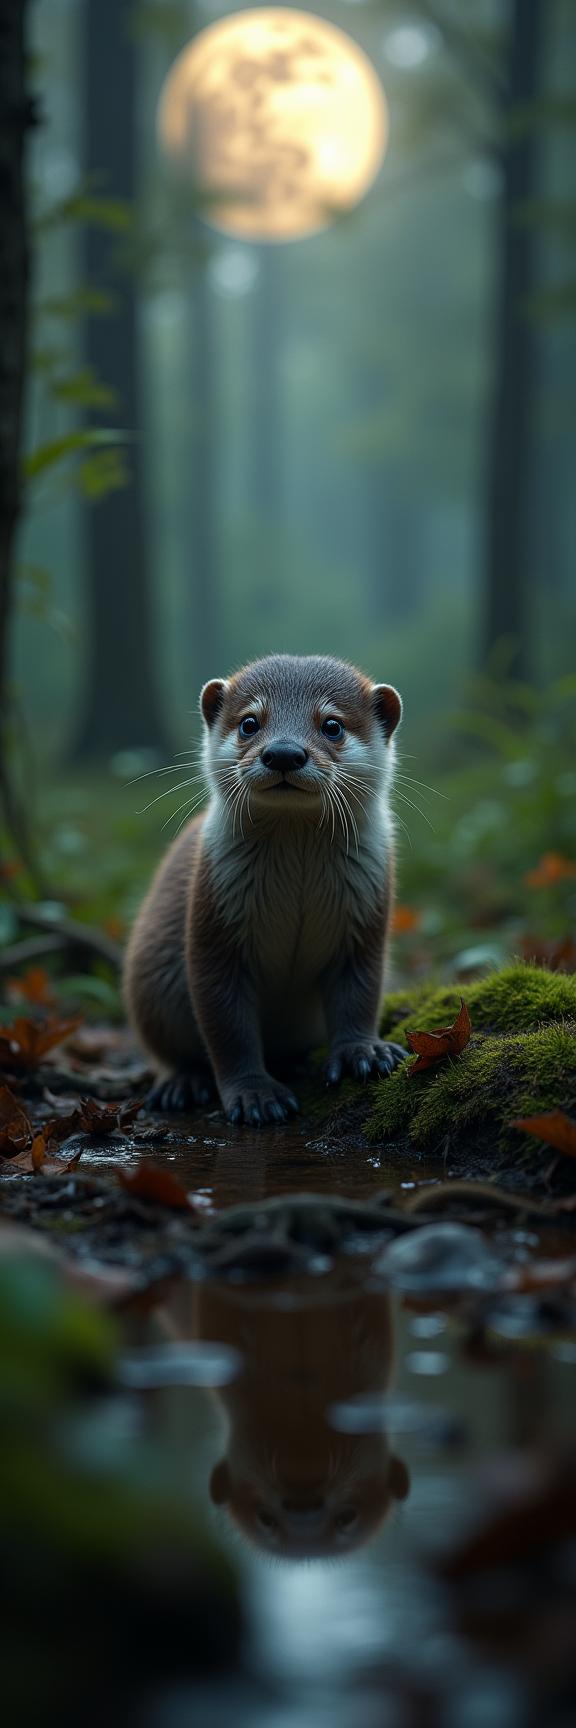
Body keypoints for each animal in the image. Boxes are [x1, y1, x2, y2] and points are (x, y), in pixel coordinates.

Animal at [124, 653, 407, 1123]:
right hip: (151, 979)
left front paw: (363, 1054)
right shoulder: (213, 928)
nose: (284, 753)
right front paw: (255, 1095)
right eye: (250, 723)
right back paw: (183, 1083)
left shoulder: (367, 920)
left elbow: (361, 994)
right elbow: (227, 1027)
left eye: (332, 725)